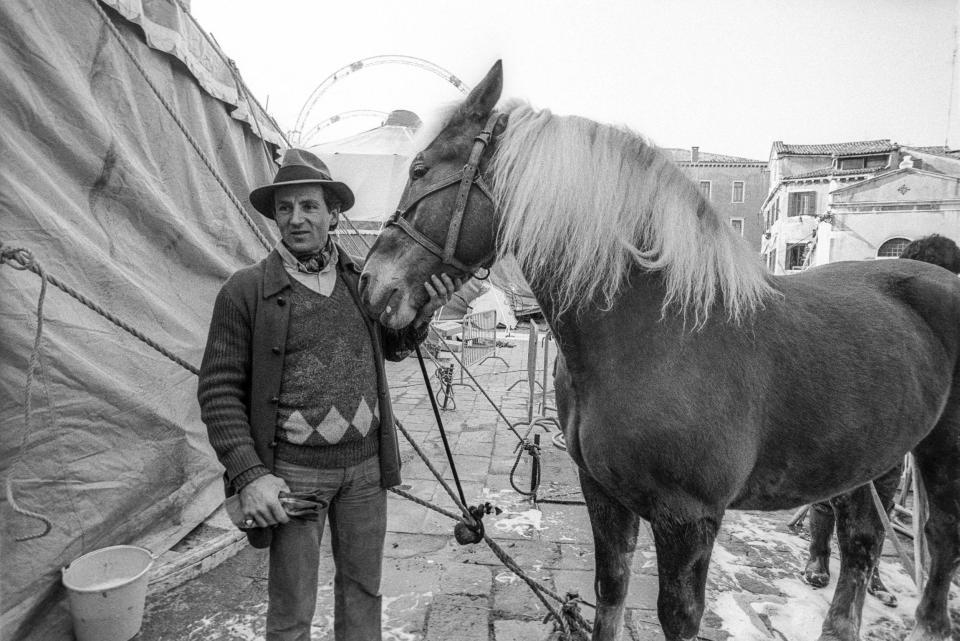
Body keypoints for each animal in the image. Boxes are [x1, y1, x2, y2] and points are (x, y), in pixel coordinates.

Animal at [358, 61, 960, 640]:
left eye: (419, 170)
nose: (369, 282)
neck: (655, 331)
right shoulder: (602, 493)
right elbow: (610, 592)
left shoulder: (688, 520)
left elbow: (678, 616)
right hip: (875, 456)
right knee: (862, 541)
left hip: (937, 453)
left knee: (938, 534)